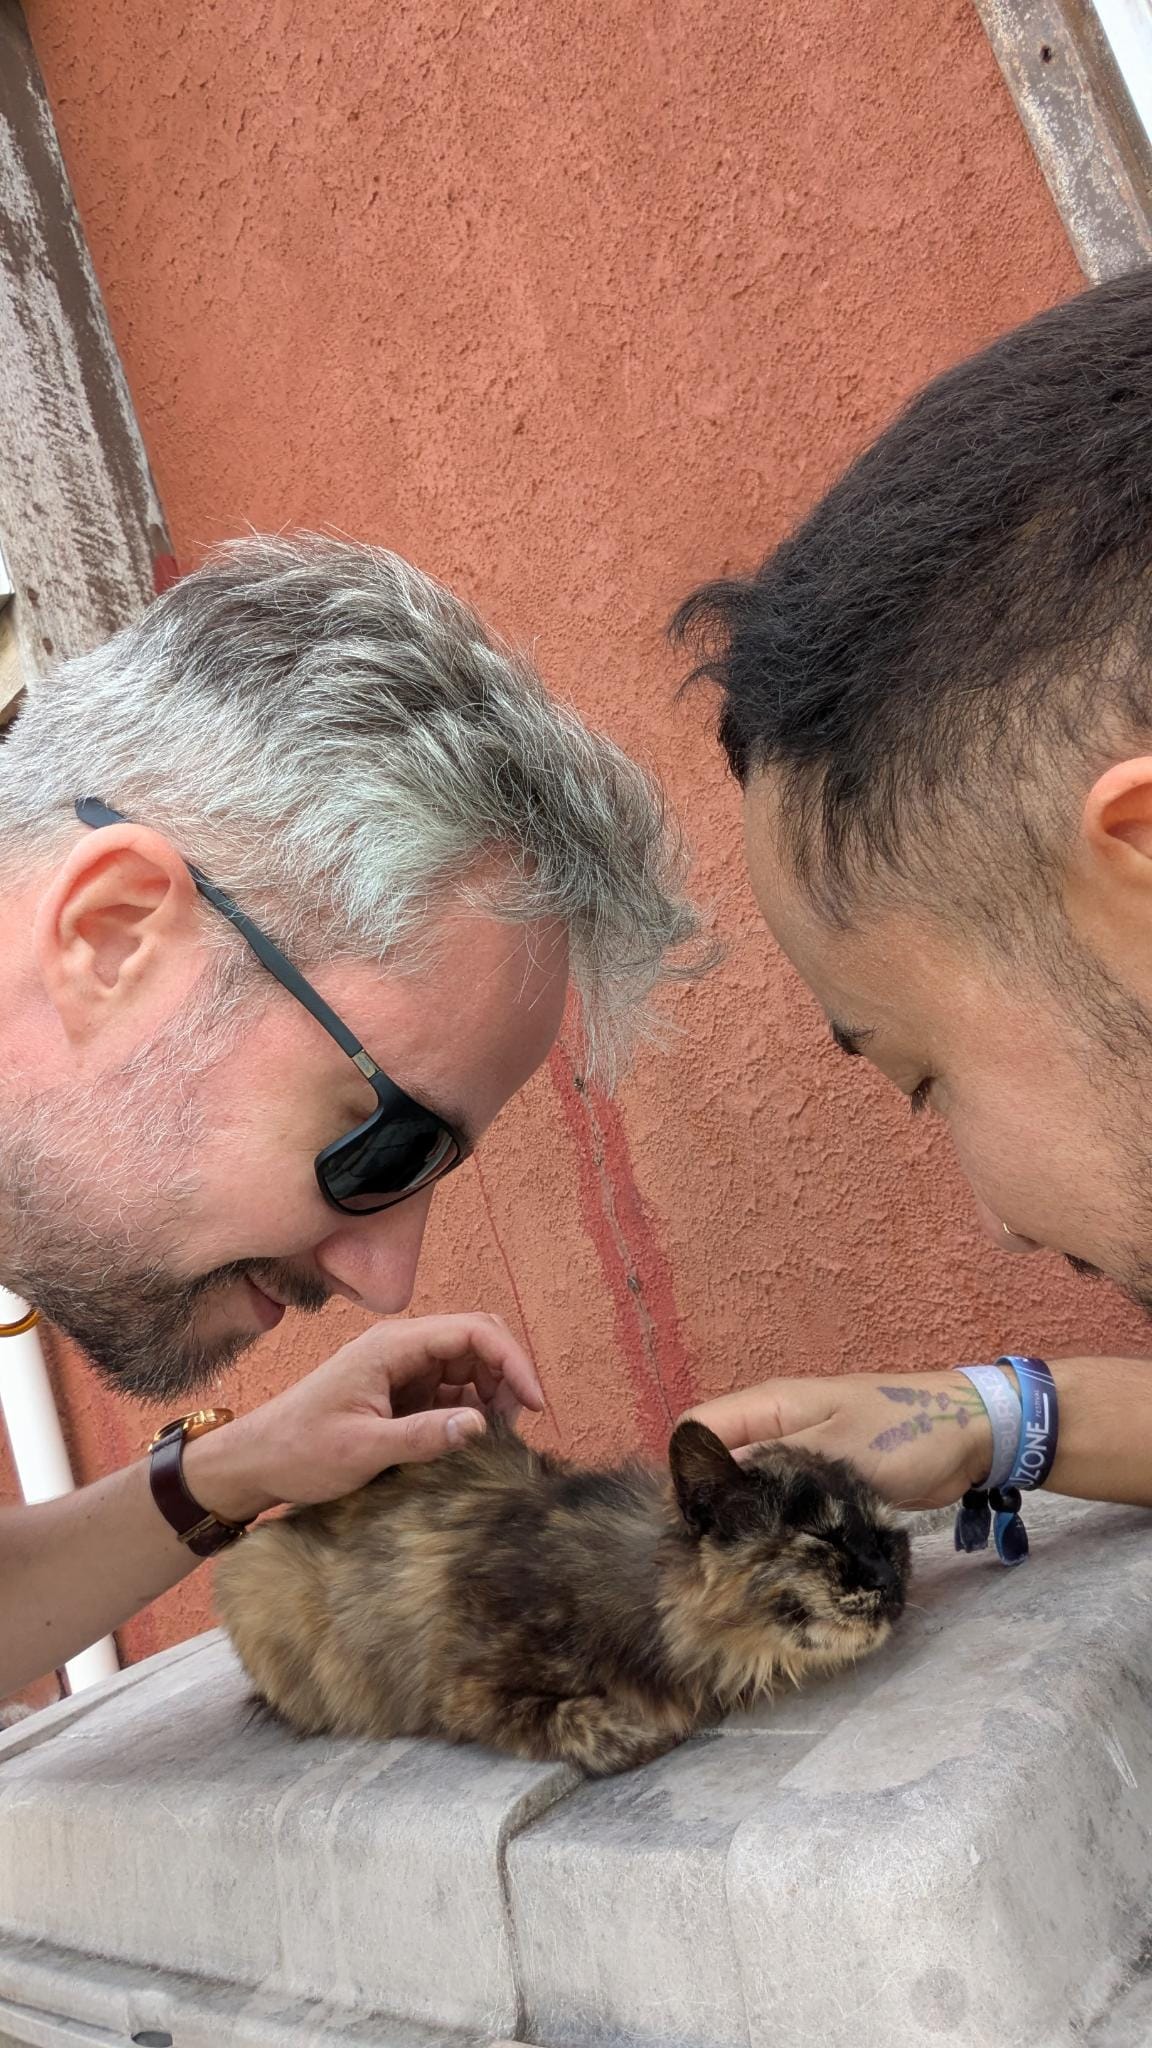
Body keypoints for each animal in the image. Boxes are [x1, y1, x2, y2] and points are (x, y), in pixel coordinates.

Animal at [215, 1418, 910, 1776]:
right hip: (254, 1575)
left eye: (888, 1538)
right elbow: (584, 1721)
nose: (885, 1579)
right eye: (823, 1537)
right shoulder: (463, 1690)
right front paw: (645, 1728)